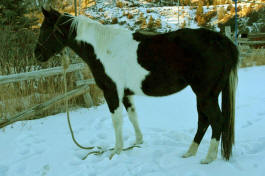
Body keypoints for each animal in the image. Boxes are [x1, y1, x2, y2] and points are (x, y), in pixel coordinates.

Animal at [34, 6, 238, 164]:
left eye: (44, 29)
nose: (37, 54)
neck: (101, 47)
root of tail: (221, 40)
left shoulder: (111, 91)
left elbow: (117, 120)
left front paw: (116, 151)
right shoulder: (126, 93)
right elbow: (133, 116)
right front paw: (137, 143)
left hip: (205, 94)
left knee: (216, 120)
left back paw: (208, 157)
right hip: (205, 95)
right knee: (204, 120)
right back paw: (190, 152)